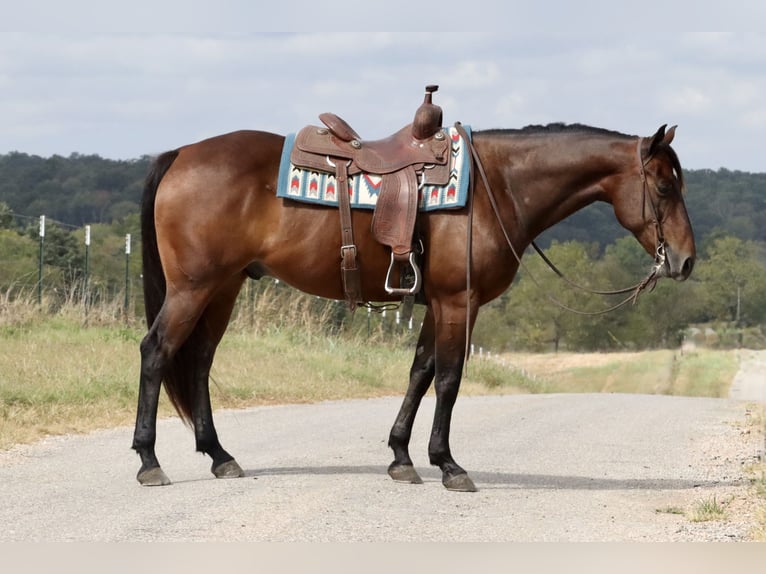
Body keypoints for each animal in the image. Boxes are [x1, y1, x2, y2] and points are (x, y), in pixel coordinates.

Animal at [135, 120, 700, 490]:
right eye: (664, 185)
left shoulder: (435, 304)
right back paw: (149, 462)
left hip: (223, 288)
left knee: (198, 361)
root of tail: (181, 153)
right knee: (156, 352)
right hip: (193, 287)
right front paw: (448, 464)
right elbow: (448, 378)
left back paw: (219, 456)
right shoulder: (458, 303)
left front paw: (402, 457)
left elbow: (420, 371)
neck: (497, 187)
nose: (686, 261)